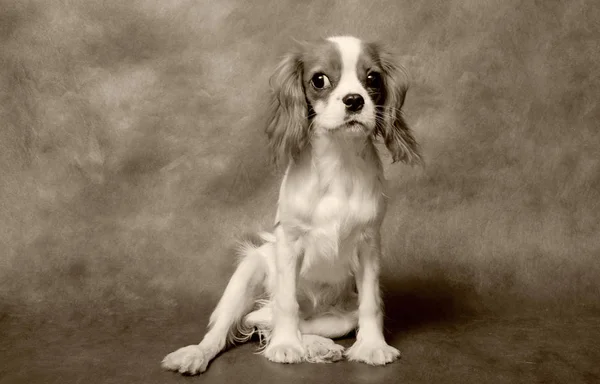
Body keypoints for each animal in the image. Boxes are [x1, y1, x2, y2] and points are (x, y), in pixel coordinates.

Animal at [162, 36, 420, 376]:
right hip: (249, 271)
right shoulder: (289, 242)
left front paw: (372, 346)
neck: (338, 162)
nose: (354, 100)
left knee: (283, 321)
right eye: (319, 80)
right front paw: (285, 346)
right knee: (236, 325)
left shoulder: (369, 246)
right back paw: (197, 354)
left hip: (340, 315)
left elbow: (371, 305)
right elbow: (287, 303)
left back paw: (319, 346)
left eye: (372, 78)